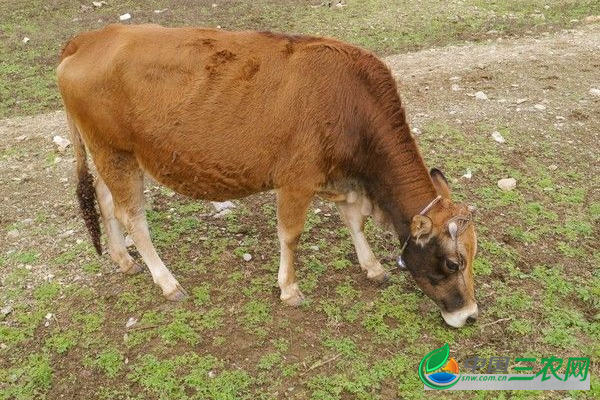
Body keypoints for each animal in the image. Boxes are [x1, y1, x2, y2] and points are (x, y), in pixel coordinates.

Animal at [56, 23, 478, 326]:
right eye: (453, 263)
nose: (470, 315)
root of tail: (90, 38)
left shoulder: (337, 179)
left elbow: (353, 220)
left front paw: (372, 267)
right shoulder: (297, 180)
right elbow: (290, 235)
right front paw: (289, 289)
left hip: (112, 154)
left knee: (105, 198)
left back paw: (122, 258)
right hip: (115, 152)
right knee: (132, 216)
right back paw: (167, 281)